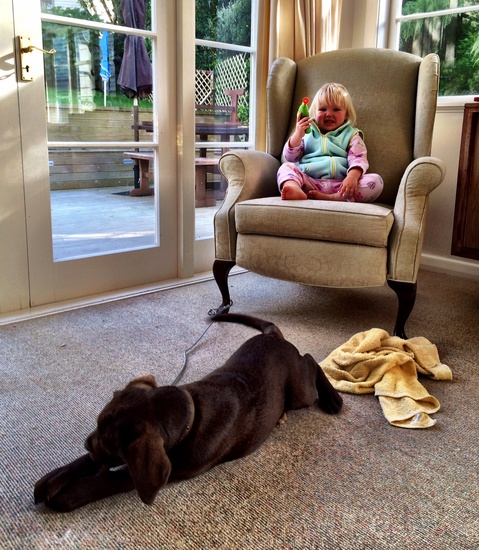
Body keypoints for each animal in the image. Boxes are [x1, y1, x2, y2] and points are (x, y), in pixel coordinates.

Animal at [34, 314, 343, 512]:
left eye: (112, 445)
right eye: (97, 424)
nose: (86, 442)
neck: (192, 414)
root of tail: (273, 337)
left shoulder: (171, 470)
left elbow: (115, 477)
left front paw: (72, 493)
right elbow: (88, 464)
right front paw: (54, 479)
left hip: (300, 392)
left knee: (311, 361)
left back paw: (333, 398)